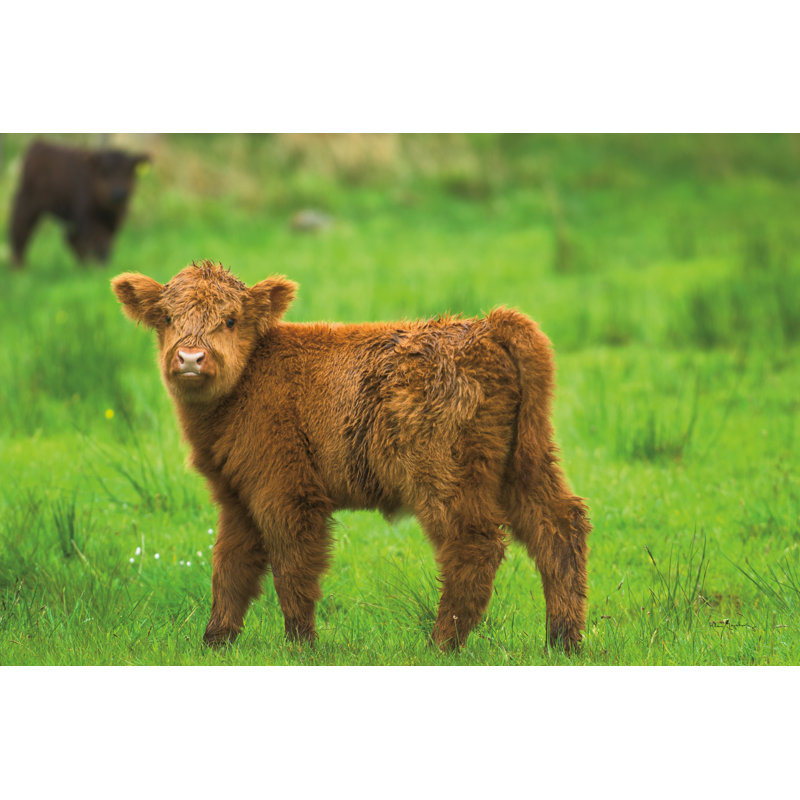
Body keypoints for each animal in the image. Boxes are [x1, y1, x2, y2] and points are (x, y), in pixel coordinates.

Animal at [9, 139, 149, 267]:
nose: (118, 193)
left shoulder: (114, 220)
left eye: (129, 171)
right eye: (105, 171)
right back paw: (18, 266)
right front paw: (99, 268)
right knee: (20, 229)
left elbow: (107, 243)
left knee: (71, 239)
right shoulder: (88, 218)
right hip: (27, 202)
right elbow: (99, 242)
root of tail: (38, 144)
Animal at [111, 260, 591, 652]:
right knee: (559, 527)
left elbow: (293, 568)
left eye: (230, 320)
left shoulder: (286, 492)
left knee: (475, 545)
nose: (191, 358)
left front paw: (301, 644)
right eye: (167, 317)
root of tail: (485, 325)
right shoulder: (236, 497)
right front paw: (215, 641)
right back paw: (562, 641)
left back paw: (441, 644)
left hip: (446, 476)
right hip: (525, 465)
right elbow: (230, 567)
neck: (246, 383)